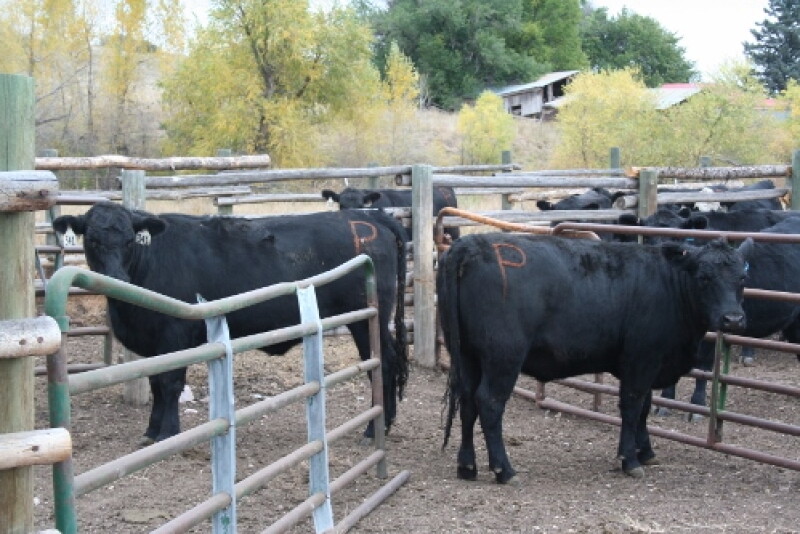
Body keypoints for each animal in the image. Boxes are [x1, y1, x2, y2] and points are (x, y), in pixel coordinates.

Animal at [53, 202, 408, 445]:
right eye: (92, 240)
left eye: (130, 241)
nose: (116, 279)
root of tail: (370, 215)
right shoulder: (152, 344)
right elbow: (155, 383)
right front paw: (152, 431)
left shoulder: (174, 334)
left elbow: (170, 384)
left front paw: (169, 433)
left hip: (367, 319)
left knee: (383, 363)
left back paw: (375, 427)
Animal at [438, 233, 749, 481]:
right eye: (704, 277)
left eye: (742, 279)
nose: (733, 319)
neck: (668, 284)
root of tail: (469, 243)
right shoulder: (641, 359)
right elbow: (632, 406)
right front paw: (629, 459)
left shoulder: (648, 363)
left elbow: (645, 407)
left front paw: (645, 451)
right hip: (503, 356)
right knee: (489, 403)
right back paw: (504, 470)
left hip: (466, 355)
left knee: (467, 402)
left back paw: (467, 466)